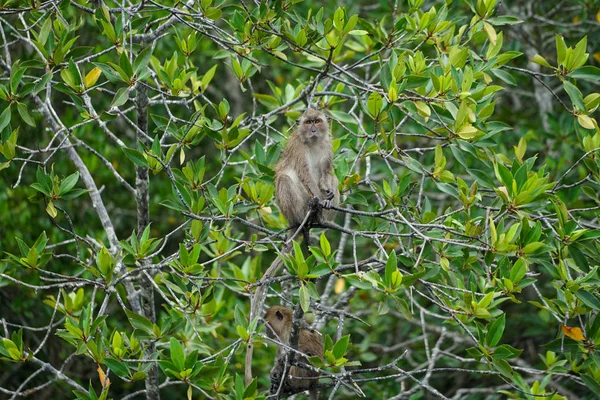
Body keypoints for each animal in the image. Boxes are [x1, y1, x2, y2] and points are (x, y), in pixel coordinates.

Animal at [274, 108, 340, 244]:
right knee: (284, 179)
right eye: (308, 122)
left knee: (335, 178)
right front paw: (321, 200)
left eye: (317, 121)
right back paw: (303, 218)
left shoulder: (327, 145)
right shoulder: (298, 147)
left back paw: (320, 218)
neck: (313, 143)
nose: (313, 130)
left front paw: (327, 192)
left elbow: (326, 172)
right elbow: (305, 174)